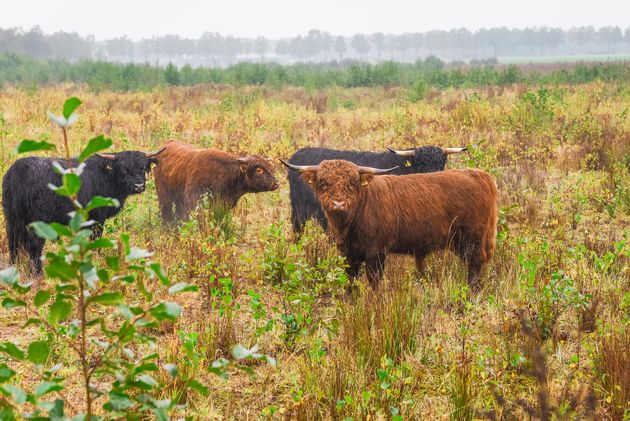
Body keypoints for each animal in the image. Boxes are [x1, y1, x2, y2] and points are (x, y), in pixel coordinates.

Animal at [3, 149, 162, 270]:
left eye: (143, 168)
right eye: (124, 169)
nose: (139, 186)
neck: (107, 177)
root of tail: (19, 171)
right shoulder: (97, 219)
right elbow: (95, 239)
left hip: (12, 219)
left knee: (13, 242)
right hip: (38, 221)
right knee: (34, 245)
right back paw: (37, 273)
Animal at [284, 158, 502, 288]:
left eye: (352, 183)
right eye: (323, 182)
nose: (338, 203)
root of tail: (478, 174)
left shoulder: (376, 253)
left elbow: (374, 282)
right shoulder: (349, 254)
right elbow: (351, 282)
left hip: (472, 239)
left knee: (476, 266)